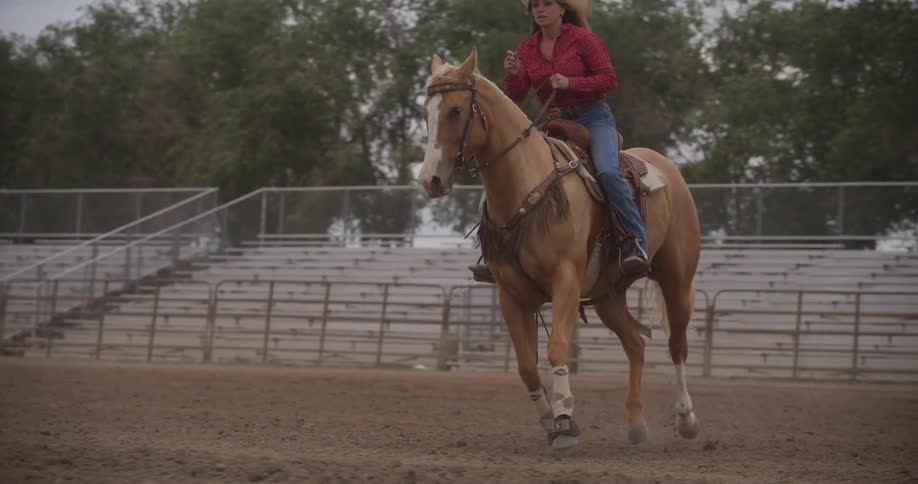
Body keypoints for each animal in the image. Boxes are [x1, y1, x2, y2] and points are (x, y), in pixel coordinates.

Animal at [418, 48, 702, 452]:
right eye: (425, 112)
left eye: (456, 110)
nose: (430, 180)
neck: (526, 186)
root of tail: (666, 168)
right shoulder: (512, 294)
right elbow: (525, 365)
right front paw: (549, 419)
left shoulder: (565, 281)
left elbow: (556, 348)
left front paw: (566, 422)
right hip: (608, 294)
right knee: (635, 344)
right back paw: (635, 424)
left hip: (676, 278)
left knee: (677, 345)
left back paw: (687, 419)